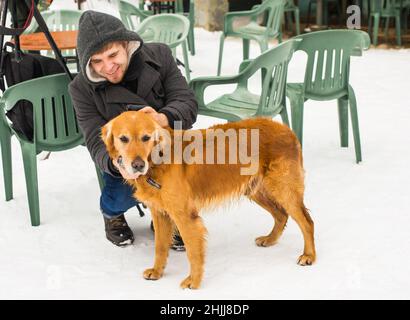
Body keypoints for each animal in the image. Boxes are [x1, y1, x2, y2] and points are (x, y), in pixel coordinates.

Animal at [101, 111, 316, 288]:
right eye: (123, 139)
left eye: (146, 137)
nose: (137, 165)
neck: (157, 162)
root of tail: (286, 129)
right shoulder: (160, 213)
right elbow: (160, 247)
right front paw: (157, 271)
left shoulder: (185, 217)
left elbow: (193, 252)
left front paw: (193, 282)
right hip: (255, 190)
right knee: (281, 215)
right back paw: (270, 239)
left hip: (283, 189)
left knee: (307, 222)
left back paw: (309, 256)